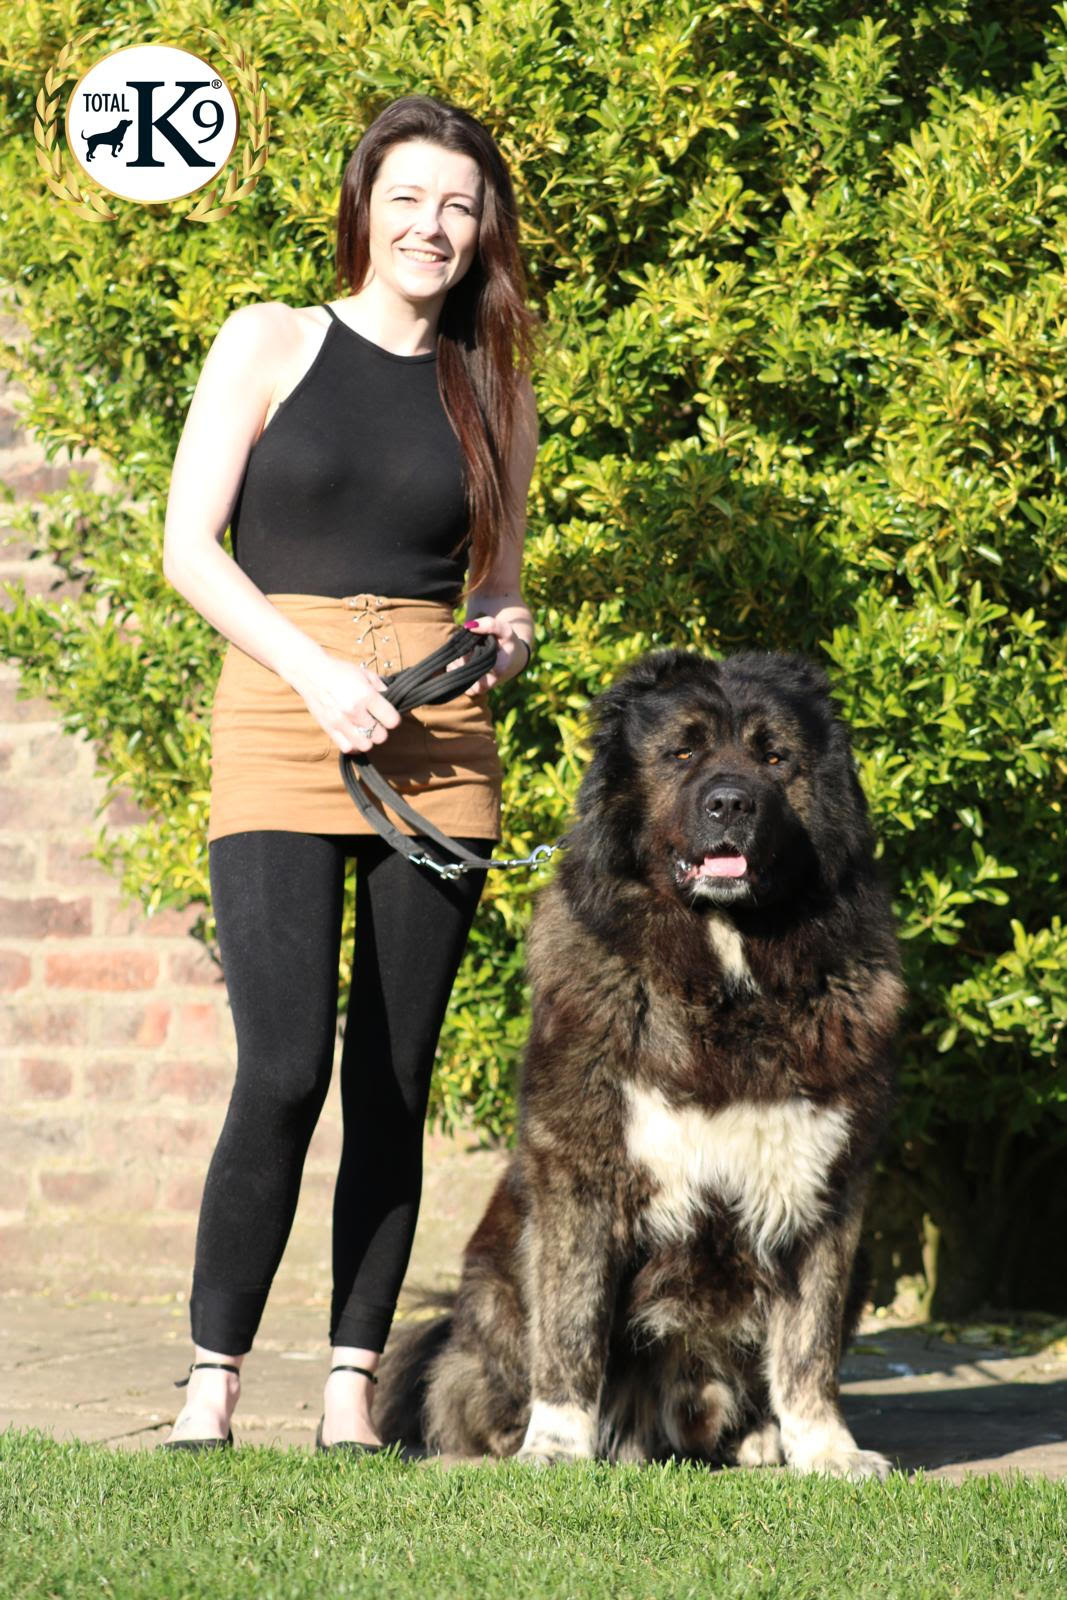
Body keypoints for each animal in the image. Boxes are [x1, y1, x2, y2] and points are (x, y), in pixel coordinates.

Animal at [379, 646, 908, 1472]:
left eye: (774, 758)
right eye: (682, 753)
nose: (730, 803)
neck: (724, 972)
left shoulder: (827, 1185)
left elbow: (808, 1343)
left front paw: (828, 1452)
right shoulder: (582, 1174)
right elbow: (569, 1324)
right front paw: (554, 1446)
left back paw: (760, 1439)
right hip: (492, 1284)